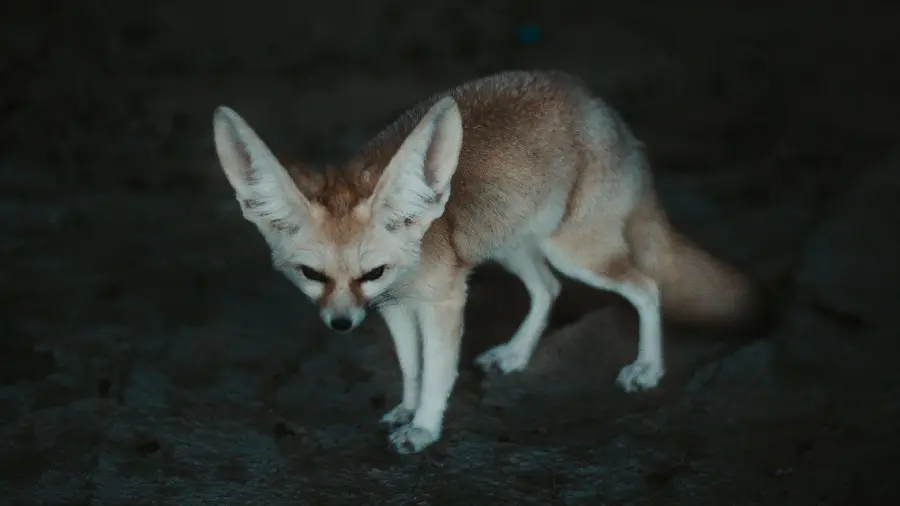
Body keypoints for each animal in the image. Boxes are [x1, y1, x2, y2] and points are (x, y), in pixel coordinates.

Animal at [214, 70, 764, 454]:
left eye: (372, 272)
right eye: (312, 275)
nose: (341, 324)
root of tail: (603, 109)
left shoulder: (443, 301)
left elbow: (437, 370)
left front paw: (425, 427)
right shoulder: (394, 307)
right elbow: (411, 367)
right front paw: (407, 409)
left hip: (575, 252)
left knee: (646, 287)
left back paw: (648, 367)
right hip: (513, 246)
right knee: (548, 289)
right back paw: (517, 354)